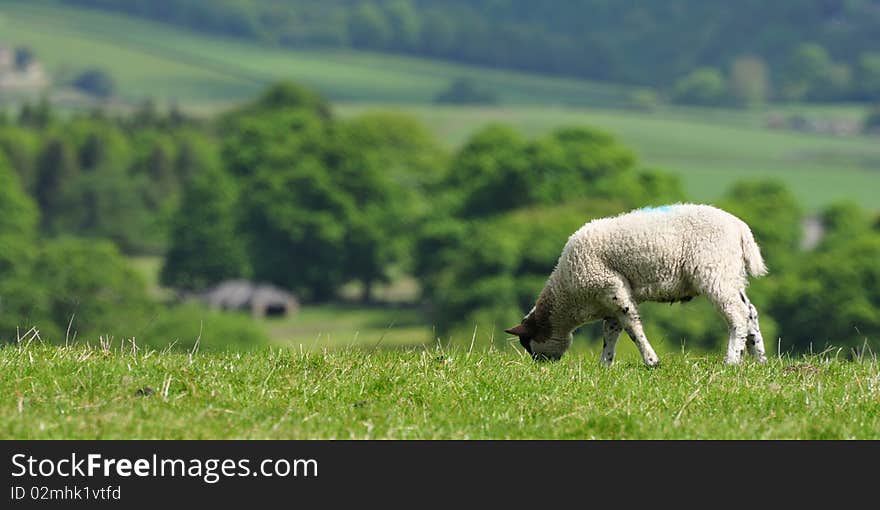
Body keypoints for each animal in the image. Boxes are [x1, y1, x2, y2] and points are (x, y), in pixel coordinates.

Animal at [506, 203, 768, 366]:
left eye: (528, 345)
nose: (541, 368)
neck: (568, 297)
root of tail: (740, 228)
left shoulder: (612, 289)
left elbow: (632, 328)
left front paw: (652, 361)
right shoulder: (610, 299)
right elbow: (610, 333)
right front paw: (605, 365)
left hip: (715, 272)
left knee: (737, 314)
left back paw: (732, 360)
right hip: (731, 274)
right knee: (750, 312)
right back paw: (760, 359)